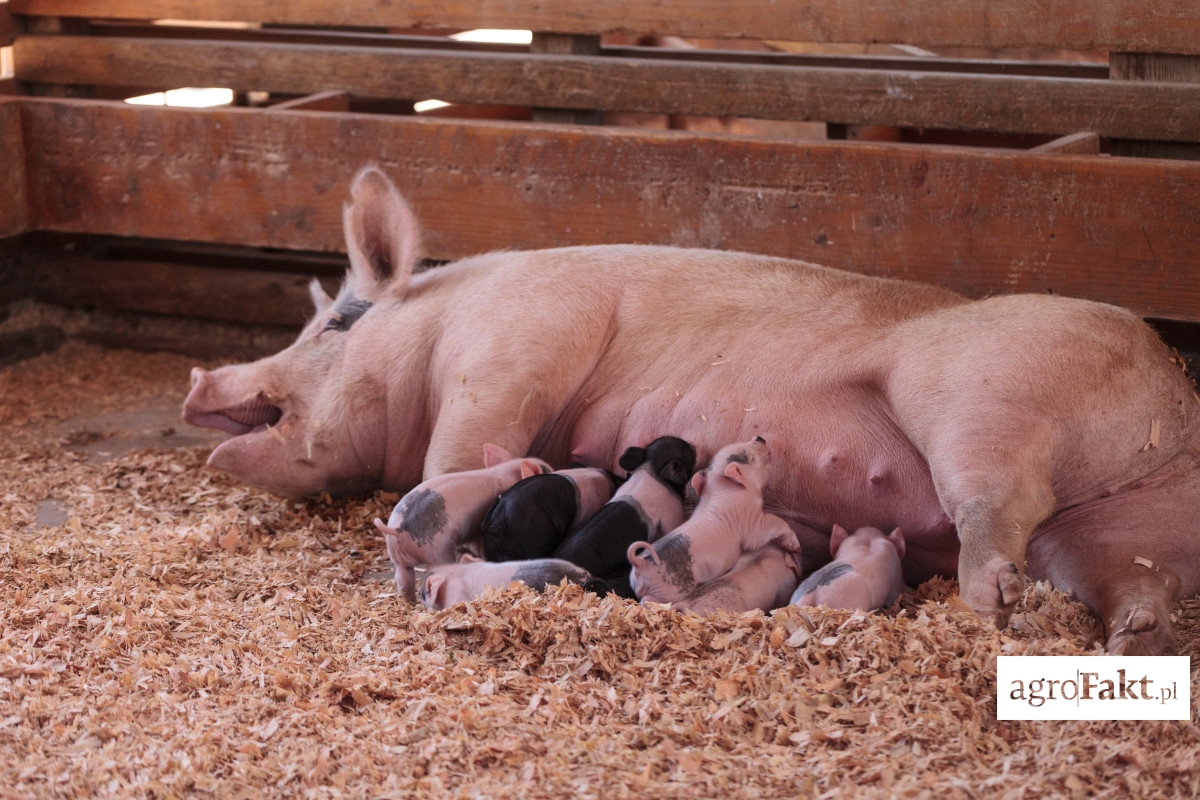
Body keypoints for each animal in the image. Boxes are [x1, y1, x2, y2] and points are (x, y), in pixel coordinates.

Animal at [372, 443, 549, 599]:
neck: (507, 472)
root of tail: (398, 529)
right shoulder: (479, 529)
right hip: (437, 551)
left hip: (397, 556)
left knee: (403, 578)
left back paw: (410, 602)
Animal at [624, 441, 801, 604]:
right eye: (750, 458)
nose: (760, 438)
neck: (723, 486)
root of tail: (639, 563)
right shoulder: (752, 524)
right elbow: (775, 524)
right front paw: (796, 547)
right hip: (666, 591)